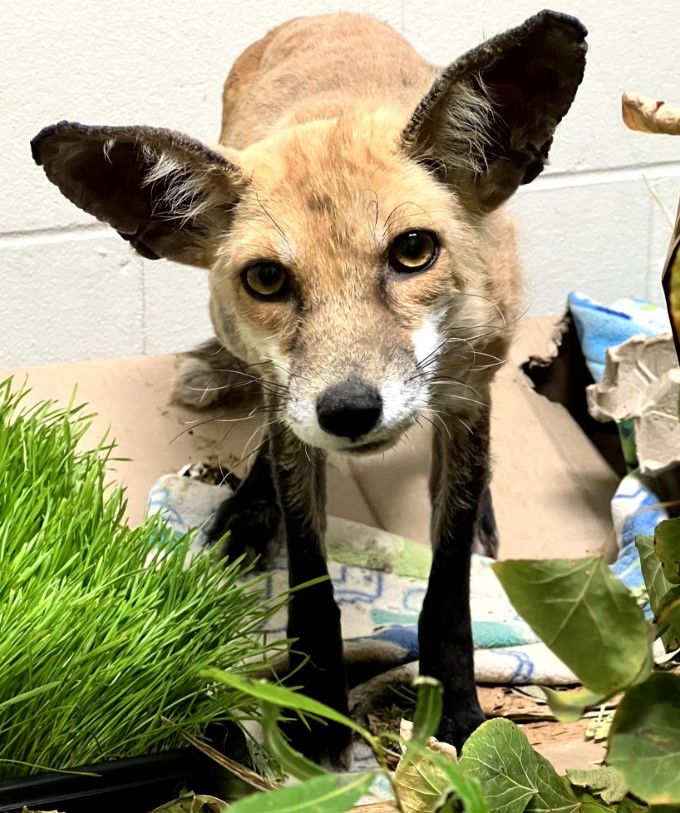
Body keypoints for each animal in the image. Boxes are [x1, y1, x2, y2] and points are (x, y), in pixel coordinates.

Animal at [31, 7, 584, 768]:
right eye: (267, 278)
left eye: (414, 251)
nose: (349, 410)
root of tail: (324, 15)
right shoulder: (291, 408)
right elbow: (311, 574)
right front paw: (315, 707)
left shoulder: (469, 391)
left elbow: (448, 587)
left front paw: (458, 707)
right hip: (252, 356)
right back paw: (247, 509)